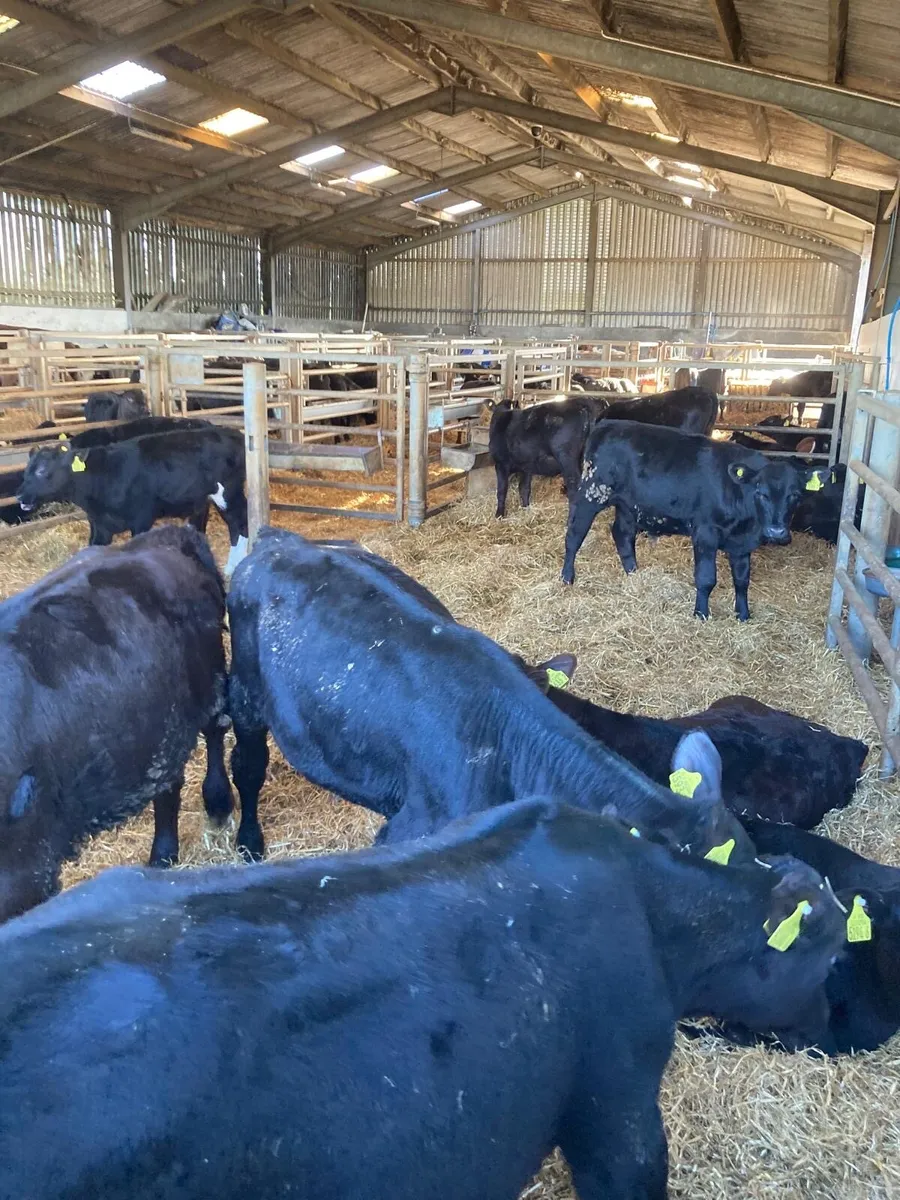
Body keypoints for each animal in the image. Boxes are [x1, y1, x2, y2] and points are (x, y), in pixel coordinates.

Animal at [0, 524, 231, 922]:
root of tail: (164, 537)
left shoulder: (23, 870)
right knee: (167, 780)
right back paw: (162, 855)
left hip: (210, 677)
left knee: (215, 731)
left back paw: (216, 802)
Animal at [16, 427, 248, 573]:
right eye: (27, 470)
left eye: (42, 471)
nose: (20, 496)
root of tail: (233, 433)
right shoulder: (99, 525)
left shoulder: (141, 518)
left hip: (228, 492)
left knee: (239, 522)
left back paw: (233, 566)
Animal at [562, 421, 828, 619]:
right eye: (760, 492)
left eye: (795, 495)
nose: (776, 531)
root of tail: (606, 424)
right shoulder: (705, 533)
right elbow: (706, 577)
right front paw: (701, 613)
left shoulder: (742, 544)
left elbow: (742, 580)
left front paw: (743, 614)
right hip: (592, 494)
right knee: (574, 535)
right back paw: (567, 577)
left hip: (628, 505)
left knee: (622, 535)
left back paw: (633, 574)